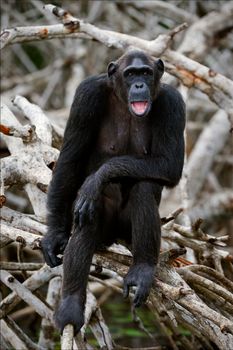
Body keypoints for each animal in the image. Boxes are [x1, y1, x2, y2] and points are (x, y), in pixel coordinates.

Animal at [41, 48, 186, 334]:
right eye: (130, 74)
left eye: (145, 72)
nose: (139, 84)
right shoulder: (86, 96)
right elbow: (70, 161)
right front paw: (54, 235)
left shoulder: (174, 104)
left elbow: (169, 163)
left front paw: (97, 178)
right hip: (105, 234)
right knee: (90, 211)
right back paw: (70, 307)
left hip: (125, 230)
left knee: (143, 188)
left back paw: (142, 270)